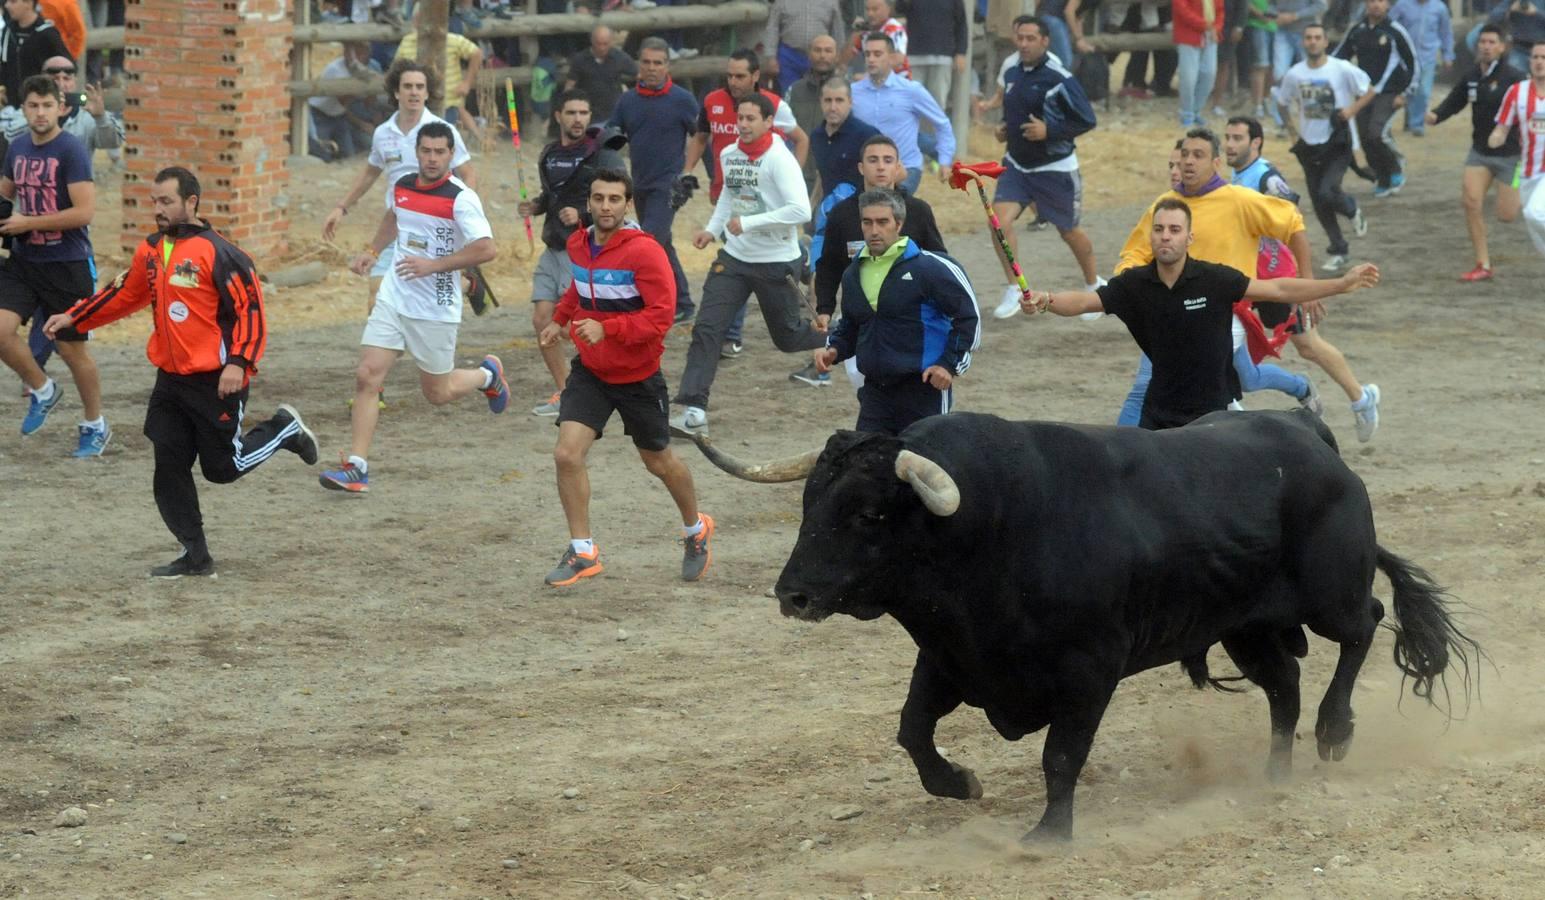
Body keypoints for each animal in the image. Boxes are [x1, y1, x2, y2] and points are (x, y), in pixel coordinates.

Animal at [682, 410, 1477, 839]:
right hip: (1244, 628)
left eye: (870, 514)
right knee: (1282, 686)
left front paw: (1046, 835)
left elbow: (1060, 757)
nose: (792, 595)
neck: (991, 529)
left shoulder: (1088, 672)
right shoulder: (950, 658)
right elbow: (911, 730)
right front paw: (960, 783)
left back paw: (1334, 731)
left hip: (1328, 594)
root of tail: (1307, 431)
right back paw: (1274, 774)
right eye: (810, 502)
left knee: (1365, 626)